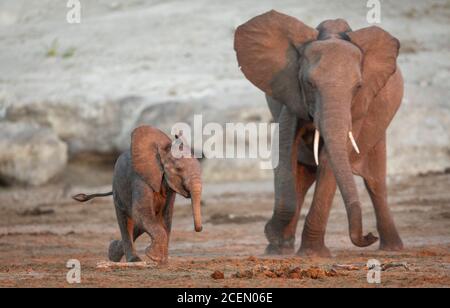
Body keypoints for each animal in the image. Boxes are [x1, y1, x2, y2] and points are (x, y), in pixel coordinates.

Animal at [72, 125, 202, 264]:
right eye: (178, 169)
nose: (198, 229)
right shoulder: (140, 179)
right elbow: (141, 211)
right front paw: (154, 257)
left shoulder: (169, 188)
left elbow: (165, 217)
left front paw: (162, 261)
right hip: (118, 188)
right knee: (126, 220)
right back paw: (133, 259)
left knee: (144, 222)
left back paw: (113, 253)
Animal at [236, 9, 404, 256]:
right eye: (309, 84)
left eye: (358, 87)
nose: (368, 235)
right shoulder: (290, 93)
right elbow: (286, 147)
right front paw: (275, 237)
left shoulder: (358, 109)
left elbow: (328, 159)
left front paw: (312, 255)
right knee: (301, 177)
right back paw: (279, 249)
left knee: (375, 183)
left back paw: (392, 249)